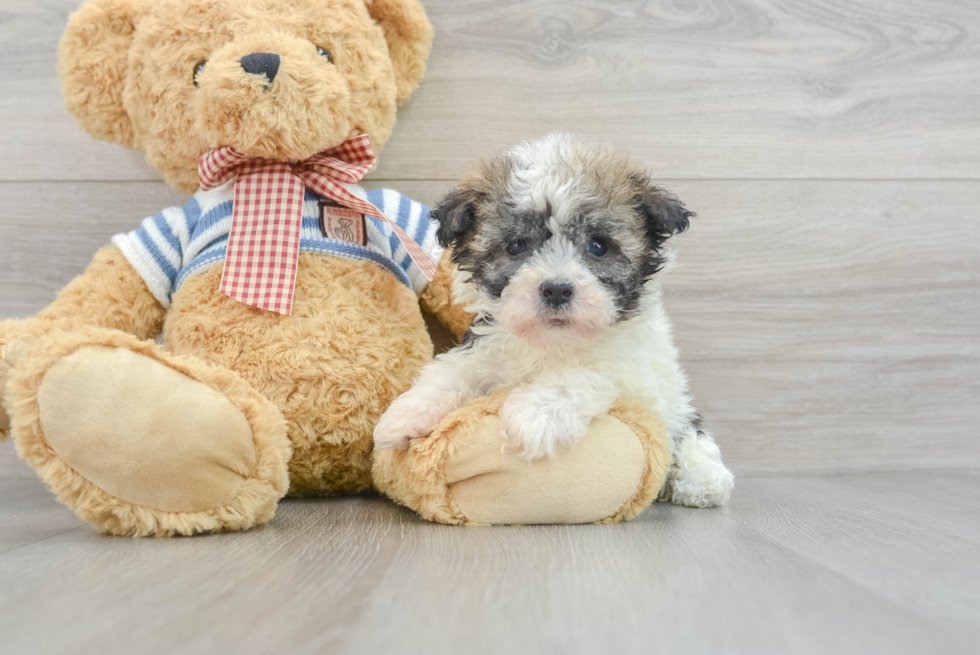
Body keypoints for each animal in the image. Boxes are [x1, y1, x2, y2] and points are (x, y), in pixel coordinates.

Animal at [376, 133, 736, 510]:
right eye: (516, 245)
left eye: (598, 245)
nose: (557, 289)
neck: (552, 341)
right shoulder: (486, 349)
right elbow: (453, 371)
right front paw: (405, 413)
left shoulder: (631, 374)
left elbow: (582, 376)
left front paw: (532, 415)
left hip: (675, 405)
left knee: (690, 434)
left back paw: (704, 481)